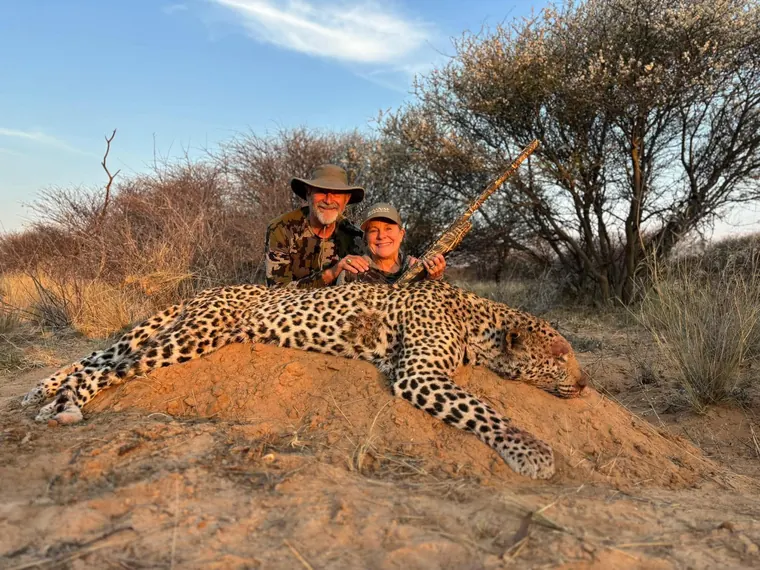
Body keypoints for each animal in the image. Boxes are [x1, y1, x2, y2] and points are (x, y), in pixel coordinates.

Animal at [22, 280, 588, 480]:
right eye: (562, 359)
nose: (584, 386)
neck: (476, 320)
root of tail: (204, 290)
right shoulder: (418, 372)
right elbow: (485, 410)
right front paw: (531, 452)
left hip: (165, 333)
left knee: (94, 358)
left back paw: (39, 396)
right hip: (193, 336)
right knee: (107, 368)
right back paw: (64, 407)